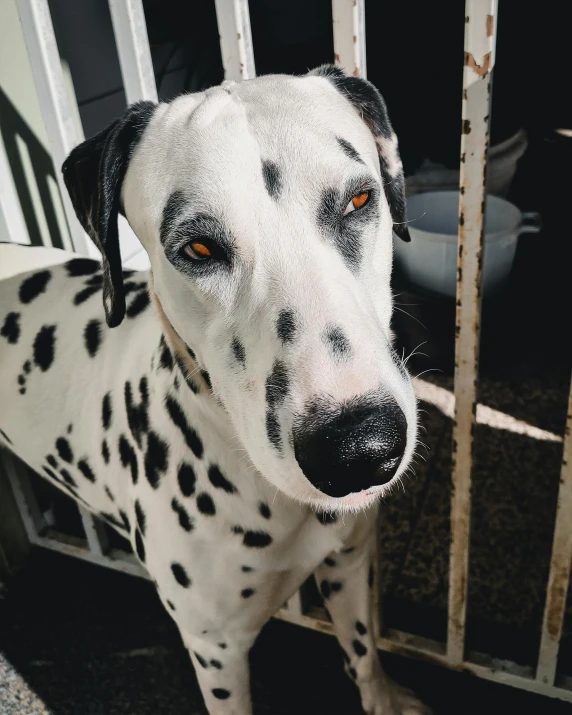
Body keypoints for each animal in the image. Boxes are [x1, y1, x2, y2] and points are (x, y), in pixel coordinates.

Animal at [0, 64, 426, 712]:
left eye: (359, 199)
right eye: (198, 247)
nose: (359, 448)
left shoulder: (349, 566)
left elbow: (363, 654)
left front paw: (382, 697)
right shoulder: (216, 650)